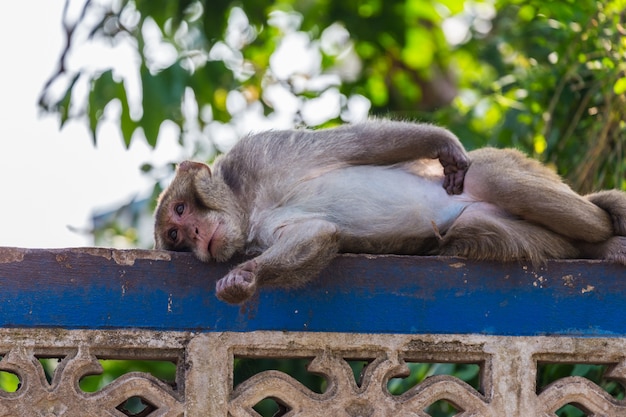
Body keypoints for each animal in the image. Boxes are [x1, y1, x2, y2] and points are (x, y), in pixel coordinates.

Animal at [152, 118, 624, 304]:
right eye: (176, 237)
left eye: (181, 210)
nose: (197, 238)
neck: (249, 206)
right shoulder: (254, 236)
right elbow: (316, 234)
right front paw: (244, 279)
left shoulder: (264, 155)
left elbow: (360, 144)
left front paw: (442, 143)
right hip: (491, 224)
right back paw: (597, 248)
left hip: (497, 167)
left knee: (511, 186)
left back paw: (607, 231)